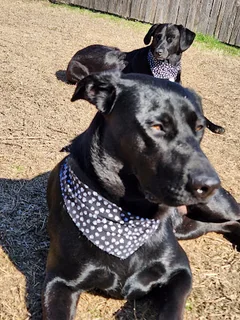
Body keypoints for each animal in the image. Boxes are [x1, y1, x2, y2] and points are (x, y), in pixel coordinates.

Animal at [43, 71, 240, 318]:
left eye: (199, 127)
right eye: (157, 126)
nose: (211, 184)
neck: (130, 215)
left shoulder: (180, 271)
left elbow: (172, 309)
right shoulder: (59, 281)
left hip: (215, 207)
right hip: (189, 227)